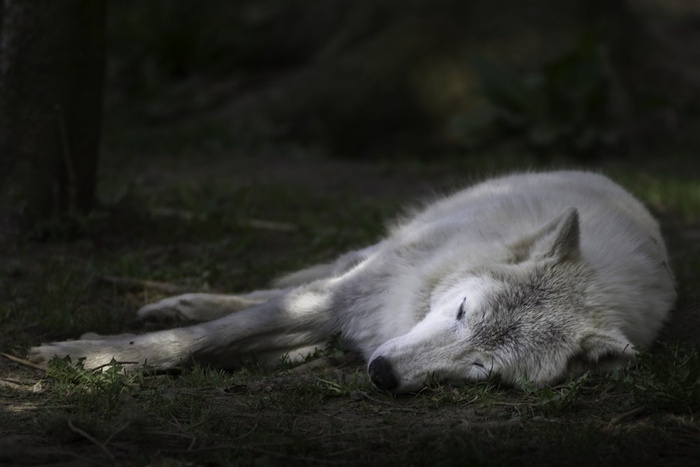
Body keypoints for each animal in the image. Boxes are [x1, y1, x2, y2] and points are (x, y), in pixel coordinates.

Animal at [28, 170, 680, 394]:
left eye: (481, 371)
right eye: (462, 311)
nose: (384, 374)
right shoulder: (347, 295)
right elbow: (197, 341)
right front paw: (84, 355)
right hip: (365, 259)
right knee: (279, 290)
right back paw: (181, 305)